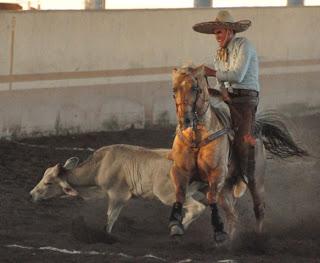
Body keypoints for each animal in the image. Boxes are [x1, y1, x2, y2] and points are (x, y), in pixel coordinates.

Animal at [169, 65, 306, 243]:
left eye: (194, 88)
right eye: (174, 89)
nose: (184, 120)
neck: (197, 137)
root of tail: (256, 129)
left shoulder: (217, 173)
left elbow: (211, 197)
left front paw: (219, 231)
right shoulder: (179, 170)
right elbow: (179, 193)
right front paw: (175, 224)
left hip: (256, 180)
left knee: (259, 208)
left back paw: (257, 237)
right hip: (226, 188)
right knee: (232, 214)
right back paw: (231, 241)